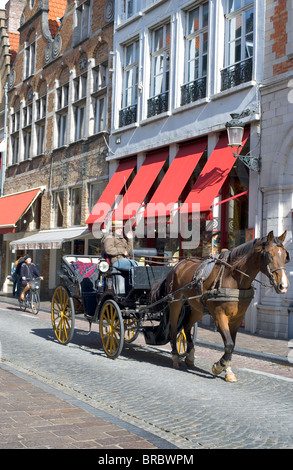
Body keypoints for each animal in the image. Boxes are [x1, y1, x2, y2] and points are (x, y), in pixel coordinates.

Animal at [152, 231, 288, 382]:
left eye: (285, 256)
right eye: (270, 255)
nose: (283, 286)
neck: (233, 278)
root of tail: (177, 265)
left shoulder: (237, 319)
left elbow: (232, 344)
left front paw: (227, 370)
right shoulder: (219, 316)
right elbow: (228, 344)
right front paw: (218, 366)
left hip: (198, 308)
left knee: (186, 327)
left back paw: (190, 357)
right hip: (175, 303)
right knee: (174, 329)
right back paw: (176, 357)